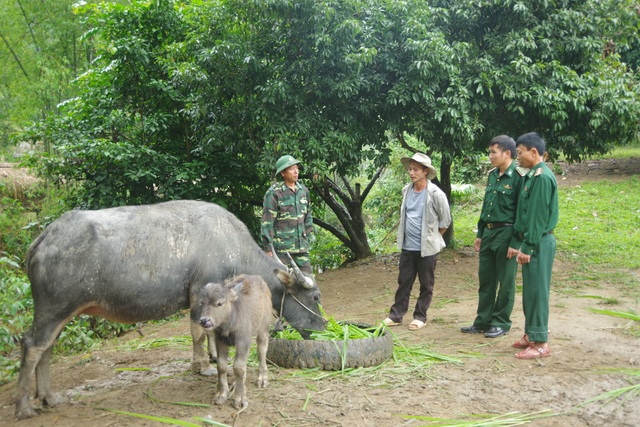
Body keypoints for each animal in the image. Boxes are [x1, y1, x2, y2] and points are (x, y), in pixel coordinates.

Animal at [15, 201, 324, 422]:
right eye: (315, 296)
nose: (322, 328)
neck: (231, 244)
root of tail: (42, 239)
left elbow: (210, 333)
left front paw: (212, 358)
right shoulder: (199, 293)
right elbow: (197, 332)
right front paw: (202, 366)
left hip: (61, 313)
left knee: (47, 348)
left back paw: (49, 397)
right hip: (54, 308)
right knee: (32, 345)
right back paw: (24, 407)